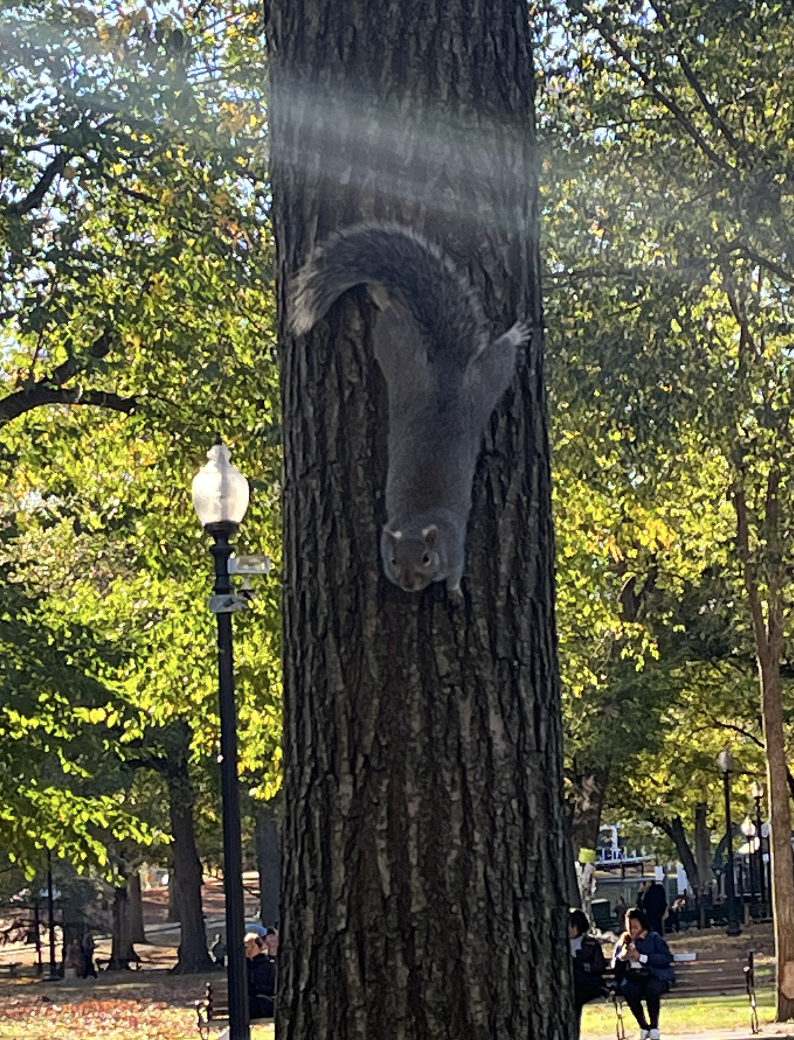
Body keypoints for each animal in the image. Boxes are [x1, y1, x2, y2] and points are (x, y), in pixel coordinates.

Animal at [289, 223, 530, 600]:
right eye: (393, 561)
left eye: (427, 558)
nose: (408, 583)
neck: (418, 520)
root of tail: (445, 373)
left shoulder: (457, 550)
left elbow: (456, 573)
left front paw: (455, 592)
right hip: (408, 366)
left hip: (445, 377)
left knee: (494, 364)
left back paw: (514, 335)